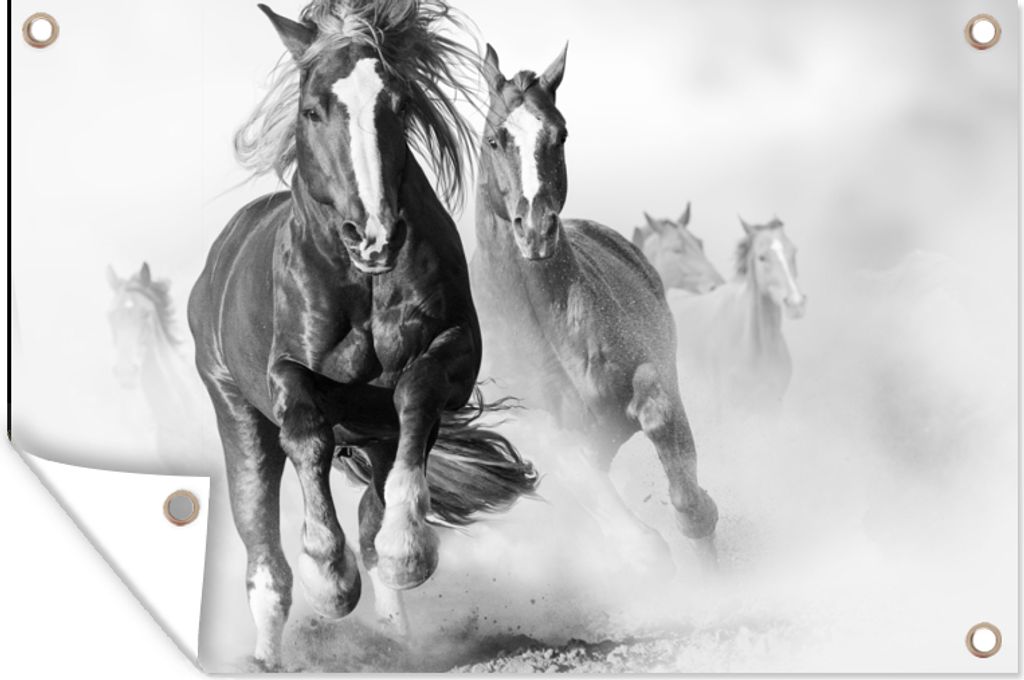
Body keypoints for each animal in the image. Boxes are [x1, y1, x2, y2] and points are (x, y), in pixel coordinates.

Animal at [188, 1, 536, 669]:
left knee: (374, 510)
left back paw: (397, 634)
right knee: (262, 546)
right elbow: (306, 432)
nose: (373, 235)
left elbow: (417, 395)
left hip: (374, 437)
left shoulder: (453, 354)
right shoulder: (285, 375)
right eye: (312, 109)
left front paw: (409, 550)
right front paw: (329, 578)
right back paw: (268, 654)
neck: (363, 283)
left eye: (398, 104)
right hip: (233, 411)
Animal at [469, 44, 718, 573]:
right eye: (496, 139)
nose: (535, 230)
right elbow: (632, 537)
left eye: (559, 134)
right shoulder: (549, 441)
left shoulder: (653, 376)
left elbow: (662, 422)